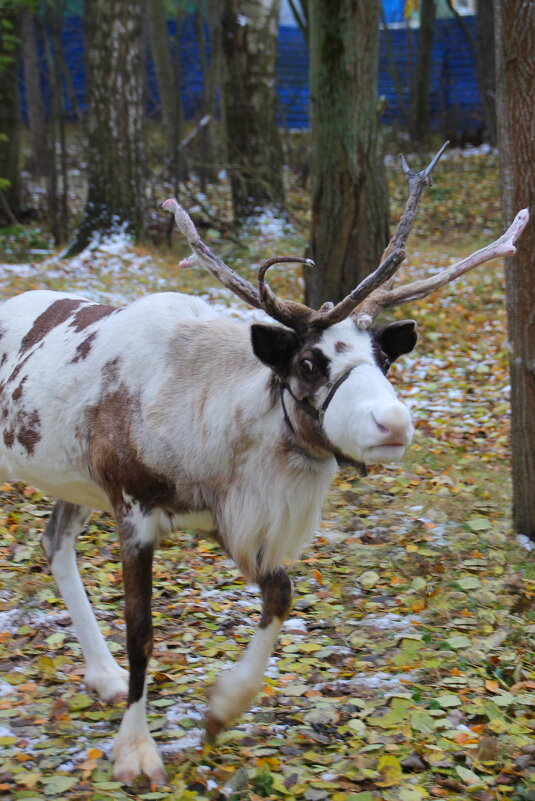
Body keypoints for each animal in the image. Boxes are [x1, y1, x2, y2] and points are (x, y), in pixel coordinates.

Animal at [0, 147, 528, 784]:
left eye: (383, 358)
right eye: (308, 362)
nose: (393, 424)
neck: (207, 419)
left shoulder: (232, 519)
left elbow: (281, 595)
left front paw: (223, 708)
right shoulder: (134, 507)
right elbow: (142, 631)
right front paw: (136, 752)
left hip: (74, 481)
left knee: (54, 541)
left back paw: (102, 677)